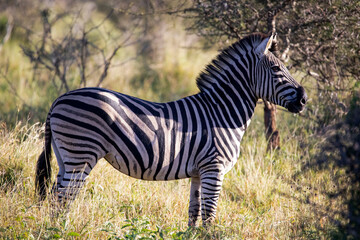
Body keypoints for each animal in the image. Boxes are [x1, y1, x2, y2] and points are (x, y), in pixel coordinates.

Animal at [35, 32, 306, 226]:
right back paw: (58, 231)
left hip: (65, 155)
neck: (222, 113)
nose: (304, 99)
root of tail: (58, 99)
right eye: (276, 69)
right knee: (62, 200)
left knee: (55, 197)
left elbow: (194, 215)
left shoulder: (199, 172)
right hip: (80, 154)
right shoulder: (214, 168)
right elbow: (209, 217)